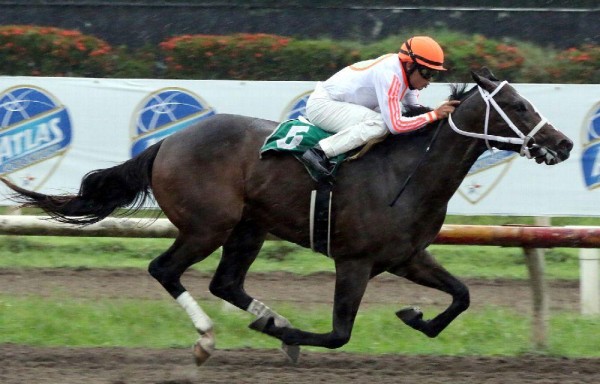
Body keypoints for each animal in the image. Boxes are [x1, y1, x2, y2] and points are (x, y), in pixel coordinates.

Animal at [0, 67, 572, 364]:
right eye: (518, 106)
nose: (564, 143)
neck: (408, 171)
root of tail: (166, 142)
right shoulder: (355, 260)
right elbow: (340, 333)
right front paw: (296, 339)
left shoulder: (406, 256)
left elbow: (462, 296)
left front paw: (415, 316)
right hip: (209, 225)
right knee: (165, 270)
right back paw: (210, 338)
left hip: (249, 228)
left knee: (226, 283)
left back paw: (270, 318)